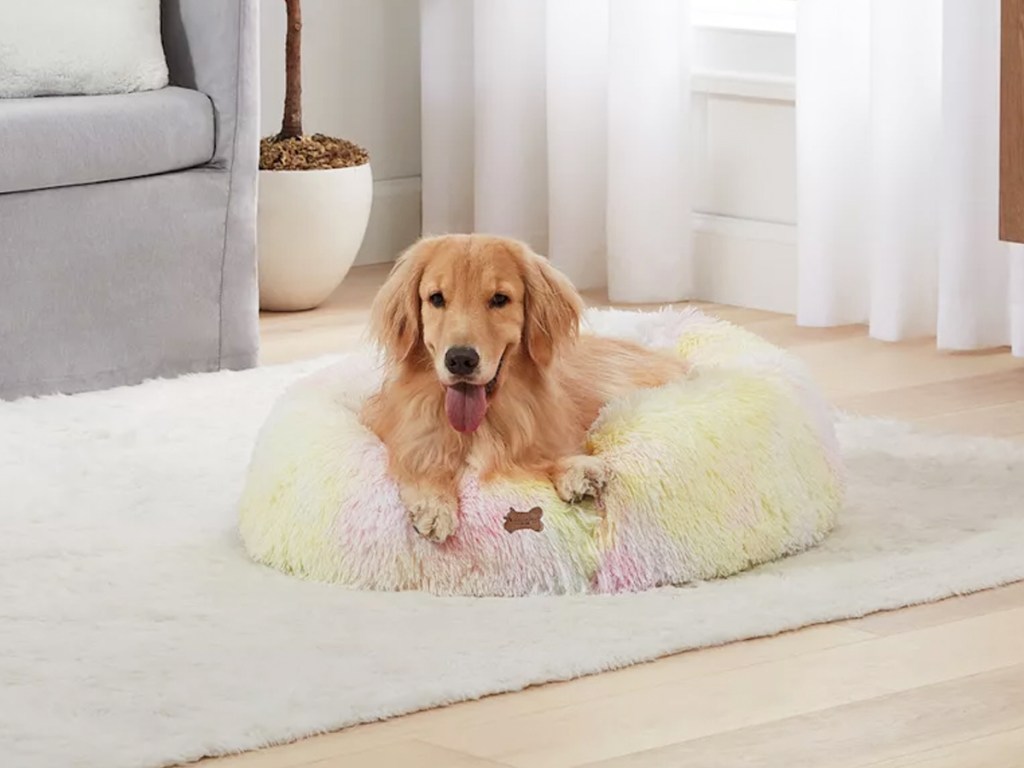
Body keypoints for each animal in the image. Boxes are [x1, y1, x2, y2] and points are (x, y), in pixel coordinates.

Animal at [360, 234, 688, 540]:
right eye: (436, 298)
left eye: (499, 299)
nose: (460, 360)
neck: (480, 424)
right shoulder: (407, 436)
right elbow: (421, 463)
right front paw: (433, 504)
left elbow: (548, 452)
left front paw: (575, 468)